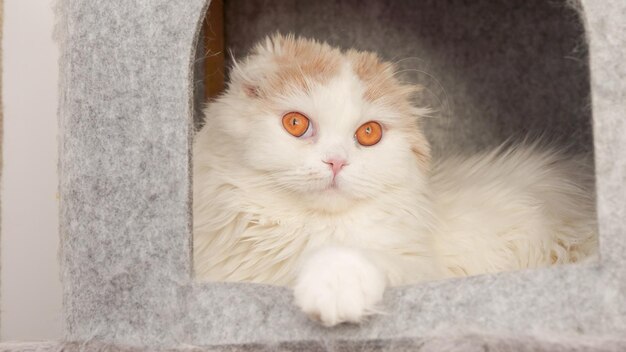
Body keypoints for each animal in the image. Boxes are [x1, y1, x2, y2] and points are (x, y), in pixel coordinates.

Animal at [191, 34, 596, 326]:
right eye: (296, 123)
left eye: (368, 133)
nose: (336, 161)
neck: (307, 232)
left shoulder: (418, 266)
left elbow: (352, 258)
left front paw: (335, 288)